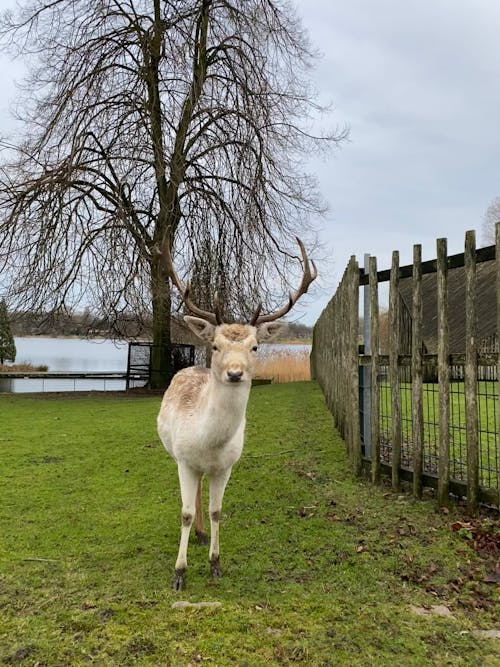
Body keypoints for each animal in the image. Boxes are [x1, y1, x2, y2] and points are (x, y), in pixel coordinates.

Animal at [156, 236, 316, 588]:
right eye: (215, 345)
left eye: (255, 347)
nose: (234, 373)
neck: (208, 443)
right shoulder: (184, 461)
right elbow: (184, 513)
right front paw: (179, 573)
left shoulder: (226, 466)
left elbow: (217, 510)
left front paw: (215, 563)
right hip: (176, 456)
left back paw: (203, 535)